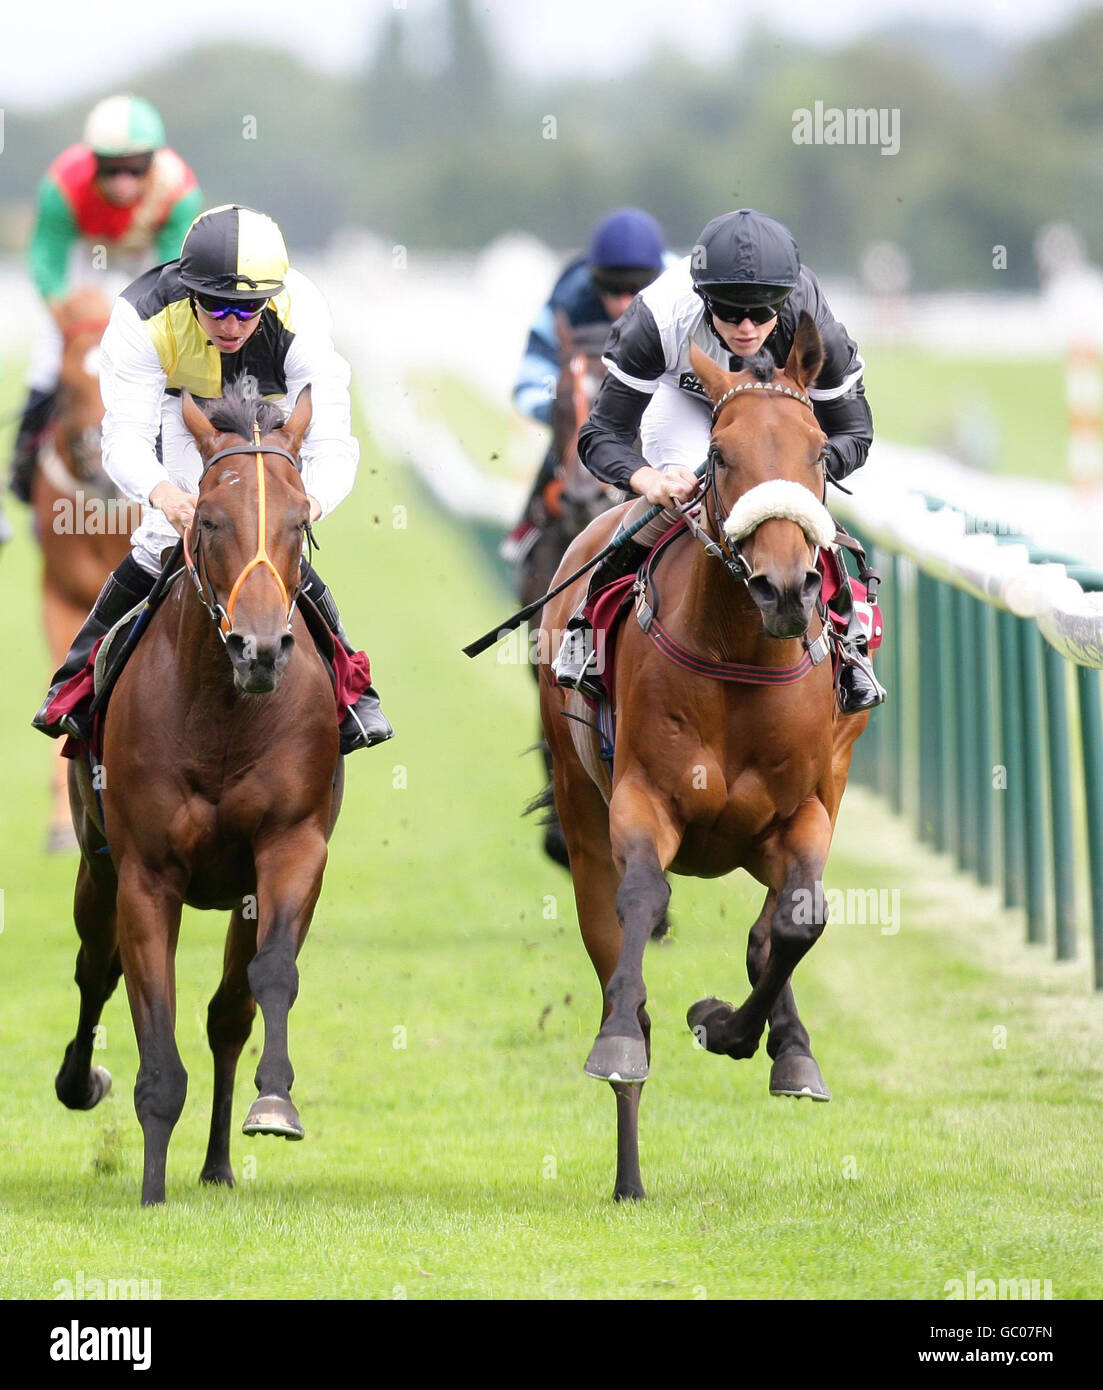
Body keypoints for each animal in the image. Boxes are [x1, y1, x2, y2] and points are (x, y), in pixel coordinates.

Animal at [51, 380, 341, 1206]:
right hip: (96, 867)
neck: (223, 717)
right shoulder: (147, 874)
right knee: (95, 969)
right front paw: (152, 1188)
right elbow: (154, 1029)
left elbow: (265, 980)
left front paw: (273, 1103)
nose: (260, 648)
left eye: (300, 520)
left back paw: (216, 1164)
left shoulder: (291, 848)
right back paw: (80, 1083)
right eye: (209, 519)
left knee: (227, 1016)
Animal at [538, 312, 866, 1195]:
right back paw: (628, 1170)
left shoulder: (802, 811)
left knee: (773, 925)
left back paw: (786, 1043)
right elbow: (641, 909)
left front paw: (739, 1031)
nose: (783, 587)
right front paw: (625, 1043)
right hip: (581, 809)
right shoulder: (642, 801)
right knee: (612, 949)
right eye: (719, 455)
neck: (740, 659)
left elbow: (799, 921)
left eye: (817, 453)